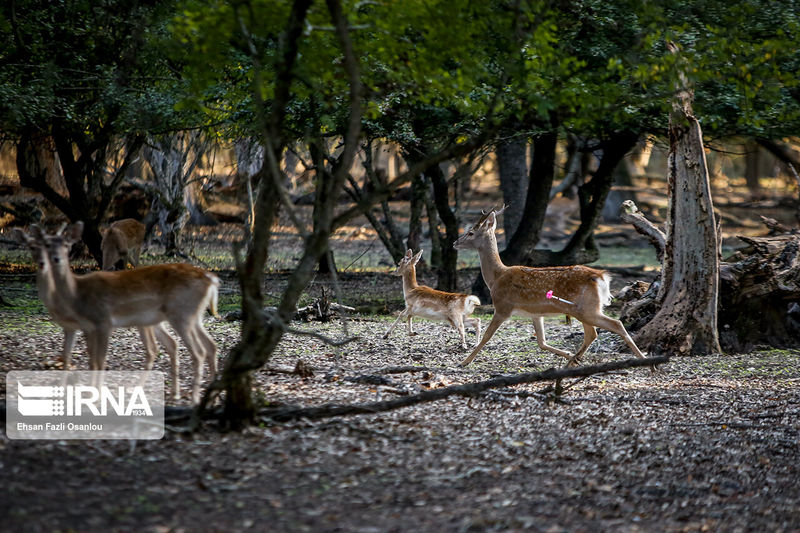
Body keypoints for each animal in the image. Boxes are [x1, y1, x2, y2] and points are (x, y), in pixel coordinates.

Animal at [25, 221, 220, 404]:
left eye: (66, 245)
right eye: (46, 245)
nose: (54, 259)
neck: (78, 292)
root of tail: (212, 280)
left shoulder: (103, 322)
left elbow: (99, 359)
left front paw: (95, 395)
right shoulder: (88, 326)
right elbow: (90, 358)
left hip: (180, 314)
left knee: (197, 351)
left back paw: (194, 398)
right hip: (191, 316)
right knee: (207, 345)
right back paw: (204, 396)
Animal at [454, 207, 648, 366]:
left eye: (471, 232)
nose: (455, 242)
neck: (496, 277)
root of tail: (601, 277)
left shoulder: (503, 306)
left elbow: (487, 336)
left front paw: (464, 362)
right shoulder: (535, 313)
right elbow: (542, 342)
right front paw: (568, 354)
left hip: (586, 308)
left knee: (615, 324)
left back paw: (643, 359)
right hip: (585, 309)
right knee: (592, 333)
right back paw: (573, 359)